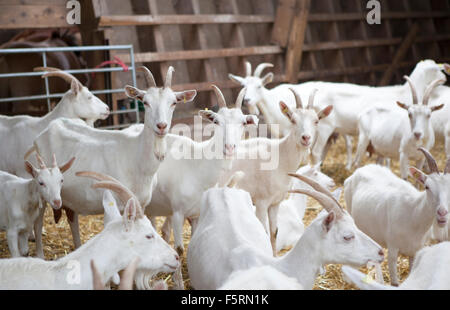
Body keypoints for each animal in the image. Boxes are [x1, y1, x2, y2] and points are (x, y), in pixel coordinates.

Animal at [27, 66, 196, 251]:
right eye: (145, 102)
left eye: (173, 102)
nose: (161, 126)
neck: (137, 159)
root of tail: (50, 126)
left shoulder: (143, 203)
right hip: (42, 185)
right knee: (38, 221)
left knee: (72, 215)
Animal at [220, 88, 332, 256]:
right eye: (293, 120)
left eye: (316, 120)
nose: (306, 138)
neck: (280, 158)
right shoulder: (261, 202)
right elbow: (264, 232)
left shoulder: (275, 203)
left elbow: (274, 232)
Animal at [342, 151, 448, 286]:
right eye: (427, 187)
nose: (442, 213)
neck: (413, 214)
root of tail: (359, 170)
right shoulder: (393, 248)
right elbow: (395, 283)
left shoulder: (414, 250)